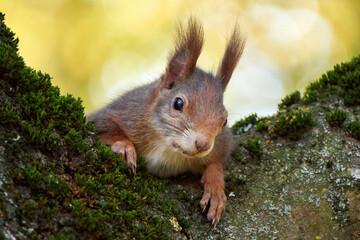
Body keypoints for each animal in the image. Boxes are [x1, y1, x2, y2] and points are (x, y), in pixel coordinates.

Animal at [87, 17, 245, 226]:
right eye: (178, 103)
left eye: (225, 120)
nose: (203, 144)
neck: (168, 148)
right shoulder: (123, 113)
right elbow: (106, 126)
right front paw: (124, 147)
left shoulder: (222, 143)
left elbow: (217, 161)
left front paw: (215, 189)